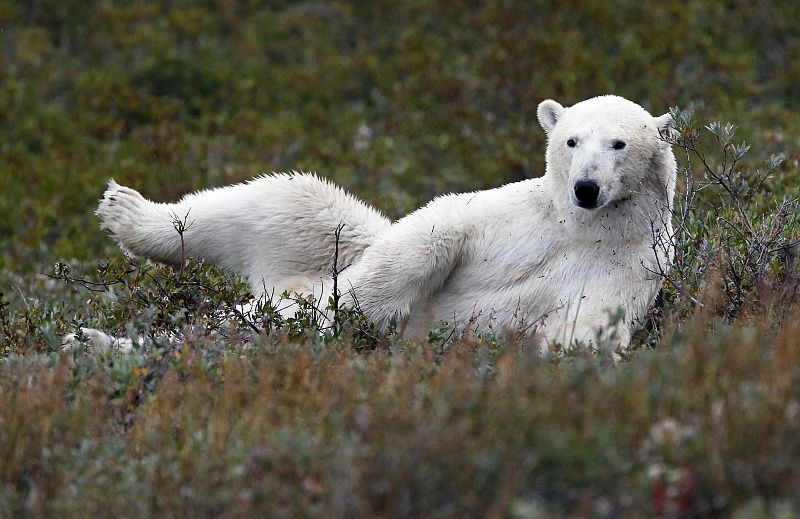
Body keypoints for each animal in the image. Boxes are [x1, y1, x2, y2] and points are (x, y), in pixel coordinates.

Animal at [78, 95, 676, 350]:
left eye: (618, 143)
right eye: (571, 140)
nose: (586, 188)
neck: (580, 227)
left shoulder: (627, 264)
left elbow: (585, 328)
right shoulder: (513, 214)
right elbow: (429, 237)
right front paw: (344, 311)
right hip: (327, 241)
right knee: (282, 199)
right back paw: (125, 217)